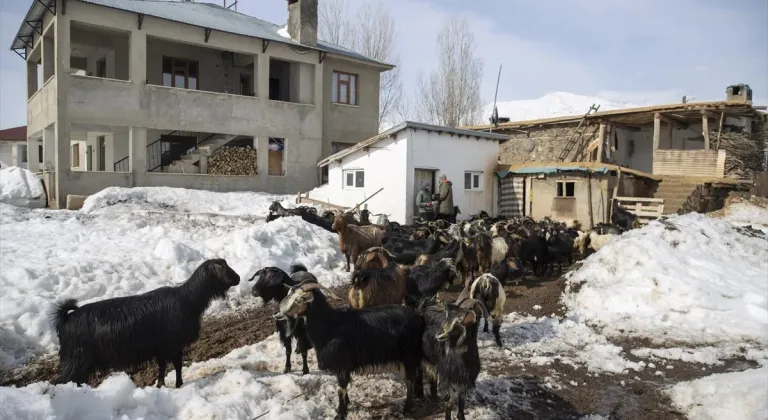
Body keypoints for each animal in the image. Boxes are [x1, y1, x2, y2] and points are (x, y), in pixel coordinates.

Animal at [50, 260, 238, 388]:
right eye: (223, 268)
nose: (238, 278)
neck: (188, 300)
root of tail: (66, 319)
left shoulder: (161, 347)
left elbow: (163, 367)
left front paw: (161, 385)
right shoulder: (172, 344)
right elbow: (176, 365)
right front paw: (178, 384)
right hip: (76, 359)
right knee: (64, 381)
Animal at [276, 278, 424, 420]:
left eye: (299, 299)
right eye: (288, 293)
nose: (278, 314)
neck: (329, 325)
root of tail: (418, 318)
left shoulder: (341, 362)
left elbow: (341, 389)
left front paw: (340, 414)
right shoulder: (341, 366)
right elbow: (344, 387)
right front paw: (343, 407)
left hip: (409, 355)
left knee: (410, 380)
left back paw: (407, 408)